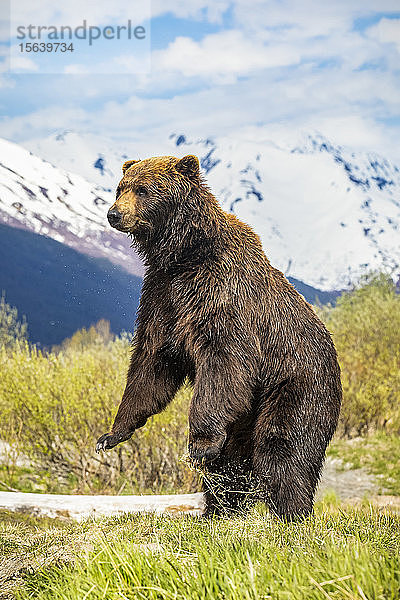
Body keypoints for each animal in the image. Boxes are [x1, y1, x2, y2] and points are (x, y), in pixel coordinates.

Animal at [96, 155, 340, 520]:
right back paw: (219, 510)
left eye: (143, 189)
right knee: (230, 465)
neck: (183, 254)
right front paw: (111, 434)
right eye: (120, 188)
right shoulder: (163, 295)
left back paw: (290, 513)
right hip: (244, 418)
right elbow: (152, 361)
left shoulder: (220, 291)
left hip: (296, 385)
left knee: (283, 449)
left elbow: (225, 359)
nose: (114, 213)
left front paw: (199, 443)